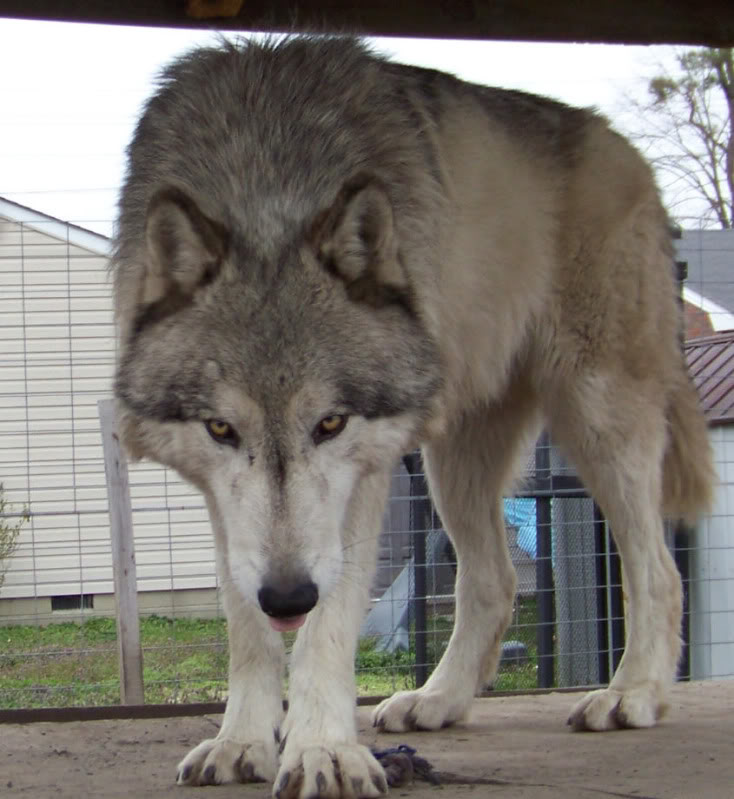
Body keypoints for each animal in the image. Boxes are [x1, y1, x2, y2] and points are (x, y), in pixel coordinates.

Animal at [112, 36, 714, 799]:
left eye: (330, 424)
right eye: (223, 430)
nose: (288, 594)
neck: (269, 180)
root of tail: (627, 150)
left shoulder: (365, 473)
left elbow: (328, 630)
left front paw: (324, 752)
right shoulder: (224, 500)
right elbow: (245, 625)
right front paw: (241, 740)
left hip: (598, 419)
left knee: (658, 571)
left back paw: (632, 693)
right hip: (450, 460)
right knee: (495, 581)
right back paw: (438, 699)